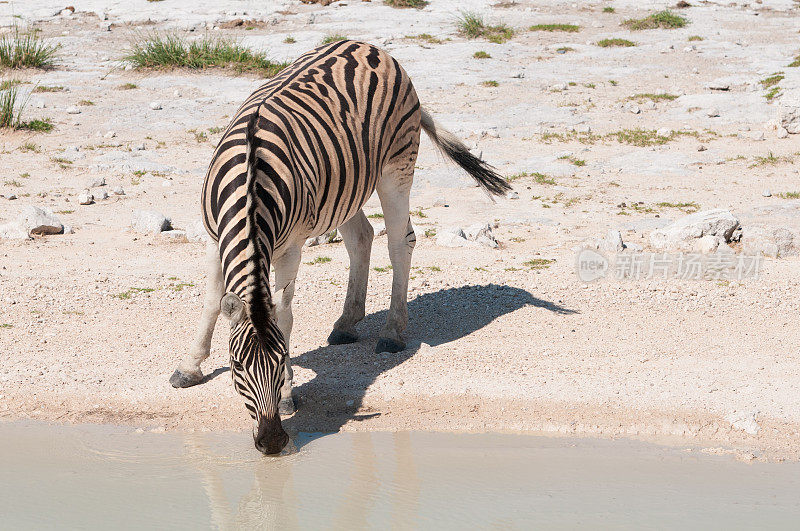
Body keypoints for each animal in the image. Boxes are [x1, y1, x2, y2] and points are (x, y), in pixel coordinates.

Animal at [167, 39, 512, 456]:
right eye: (236, 368)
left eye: (281, 360)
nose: (272, 441)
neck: (250, 188)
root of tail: (370, 46)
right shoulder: (215, 238)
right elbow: (210, 303)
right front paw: (189, 367)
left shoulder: (291, 248)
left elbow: (284, 315)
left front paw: (288, 393)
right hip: (346, 185)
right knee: (362, 236)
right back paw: (347, 323)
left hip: (395, 169)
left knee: (401, 242)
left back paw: (392, 332)